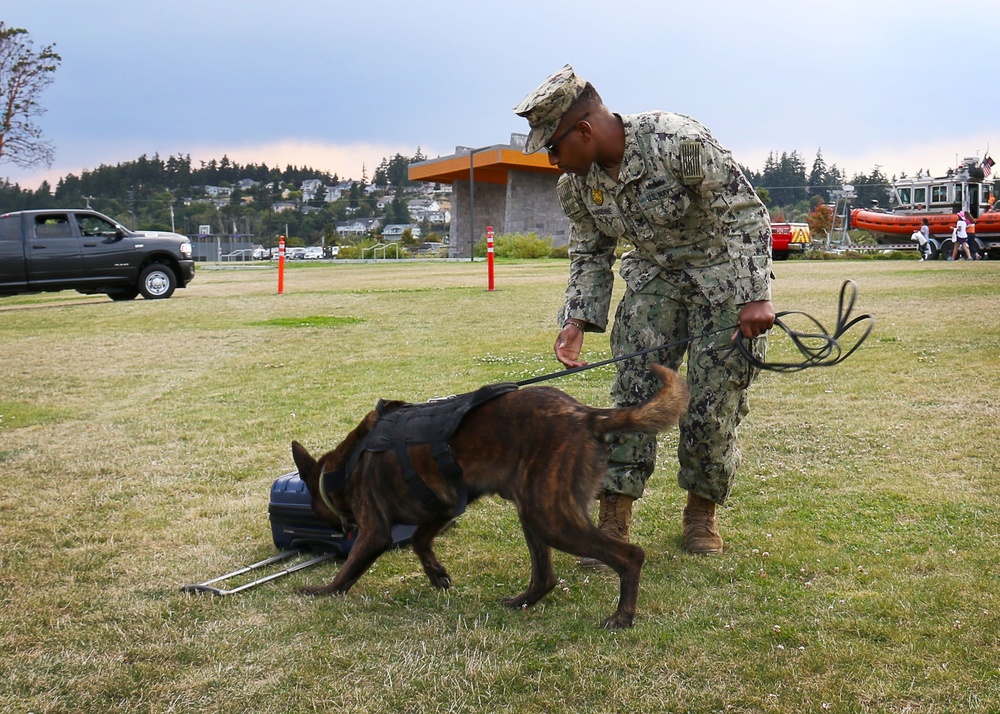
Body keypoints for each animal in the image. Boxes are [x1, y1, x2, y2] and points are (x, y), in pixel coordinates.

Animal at [292, 364, 688, 624]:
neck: (344, 466)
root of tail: (587, 415)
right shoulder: (442, 509)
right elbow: (420, 541)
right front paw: (437, 574)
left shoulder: (374, 530)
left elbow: (348, 571)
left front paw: (321, 590)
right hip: (534, 510)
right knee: (545, 576)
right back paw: (522, 601)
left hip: (550, 515)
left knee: (631, 556)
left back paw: (622, 616)